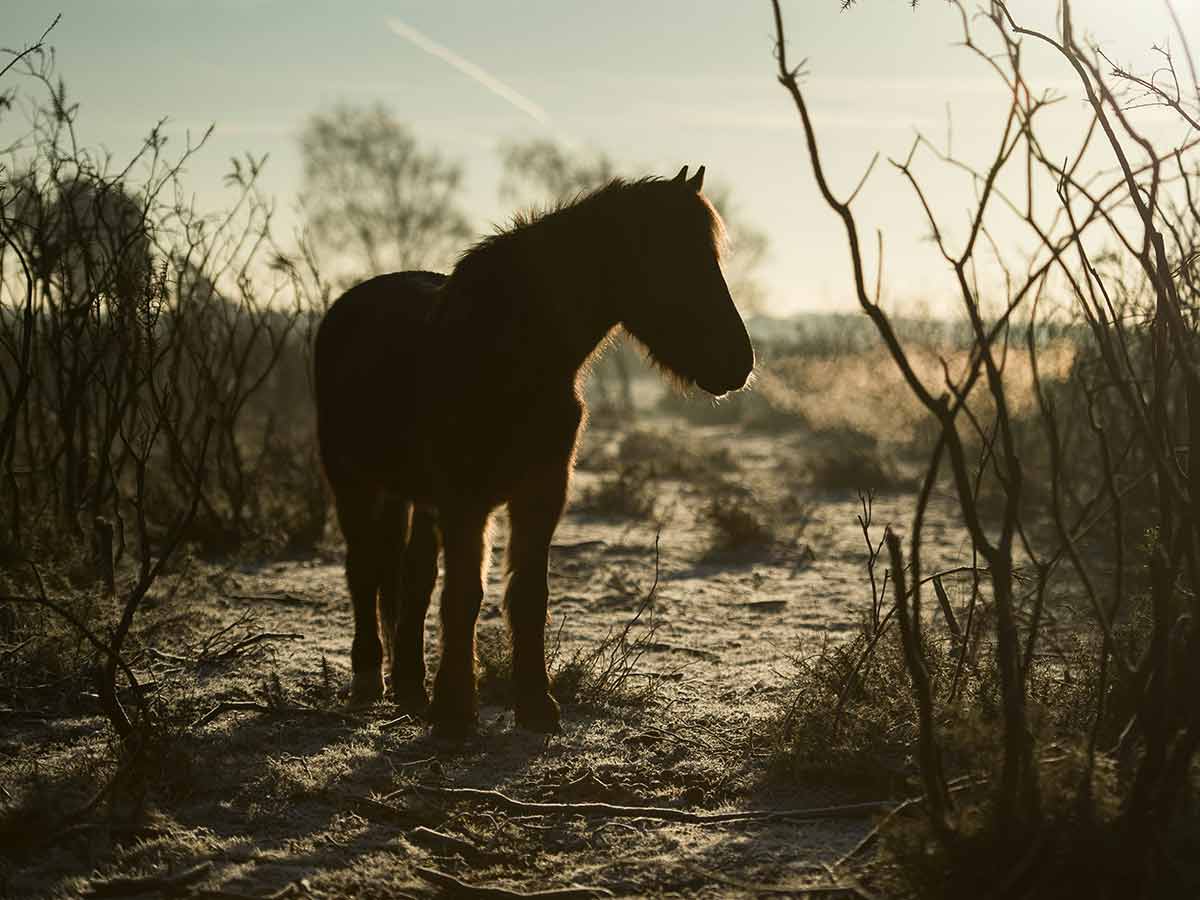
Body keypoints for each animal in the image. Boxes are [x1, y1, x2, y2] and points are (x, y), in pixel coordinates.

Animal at [314, 165, 753, 734]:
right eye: (672, 259)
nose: (739, 362)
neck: (512, 353)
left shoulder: (541, 493)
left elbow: (526, 596)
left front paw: (535, 704)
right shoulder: (466, 499)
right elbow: (466, 595)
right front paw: (455, 712)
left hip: (413, 497)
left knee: (411, 576)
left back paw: (410, 686)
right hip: (353, 483)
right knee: (364, 570)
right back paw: (369, 679)